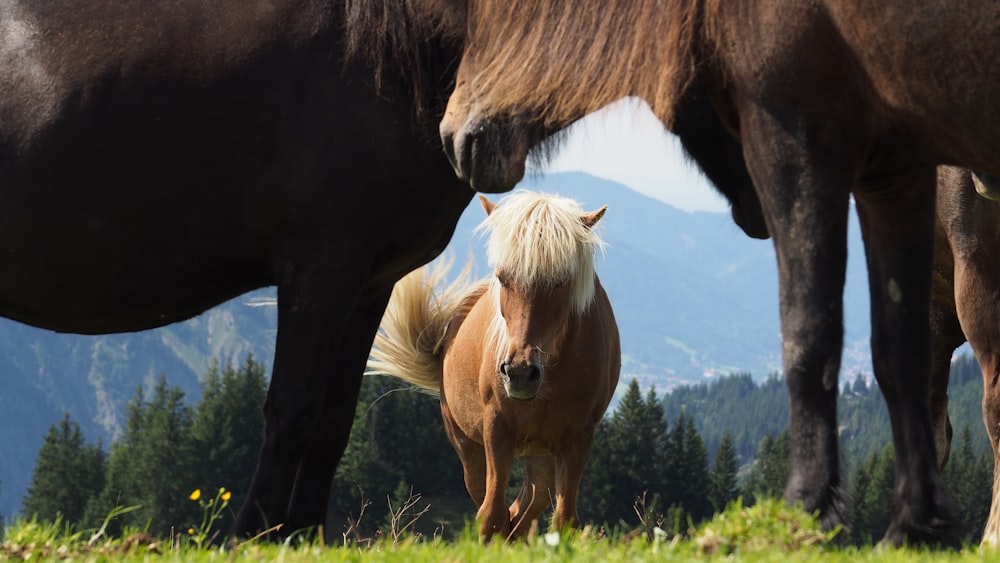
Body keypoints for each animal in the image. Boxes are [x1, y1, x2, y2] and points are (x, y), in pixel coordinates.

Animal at [0, 0, 476, 536]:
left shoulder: (371, 282)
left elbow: (335, 419)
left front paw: (305, 535)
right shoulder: (323, 264)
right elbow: (294, 408)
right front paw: (258, 534)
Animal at [368, 192, 616, 540]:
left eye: (561, 282)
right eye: (503, 278)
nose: (520, 374)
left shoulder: (579, 438)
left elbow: (563, 519)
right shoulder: (497, 431)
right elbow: (491, 515)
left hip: (541, 456)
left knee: (527, 506)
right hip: (471, 449)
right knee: (500, 505)